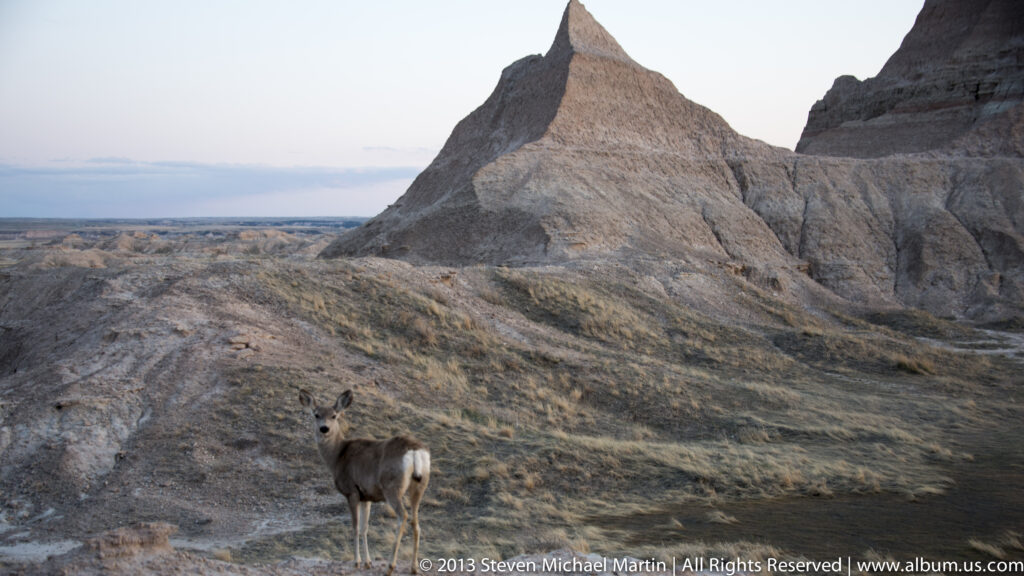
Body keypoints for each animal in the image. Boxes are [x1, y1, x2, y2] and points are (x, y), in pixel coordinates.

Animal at [298, 388, 430, 576]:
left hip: (392, 486)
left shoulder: (351, 491)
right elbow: (364, 527)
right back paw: (414, 567)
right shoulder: (366, 496)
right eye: (316, 414)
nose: (324, 428)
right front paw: (368, 562)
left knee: (403, 516)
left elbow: (354, 527)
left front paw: (357, 562)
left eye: (334, 415)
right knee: (416, 522)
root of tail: (414, 450)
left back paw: (390, 566)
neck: (337, 456)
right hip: (420, 484)